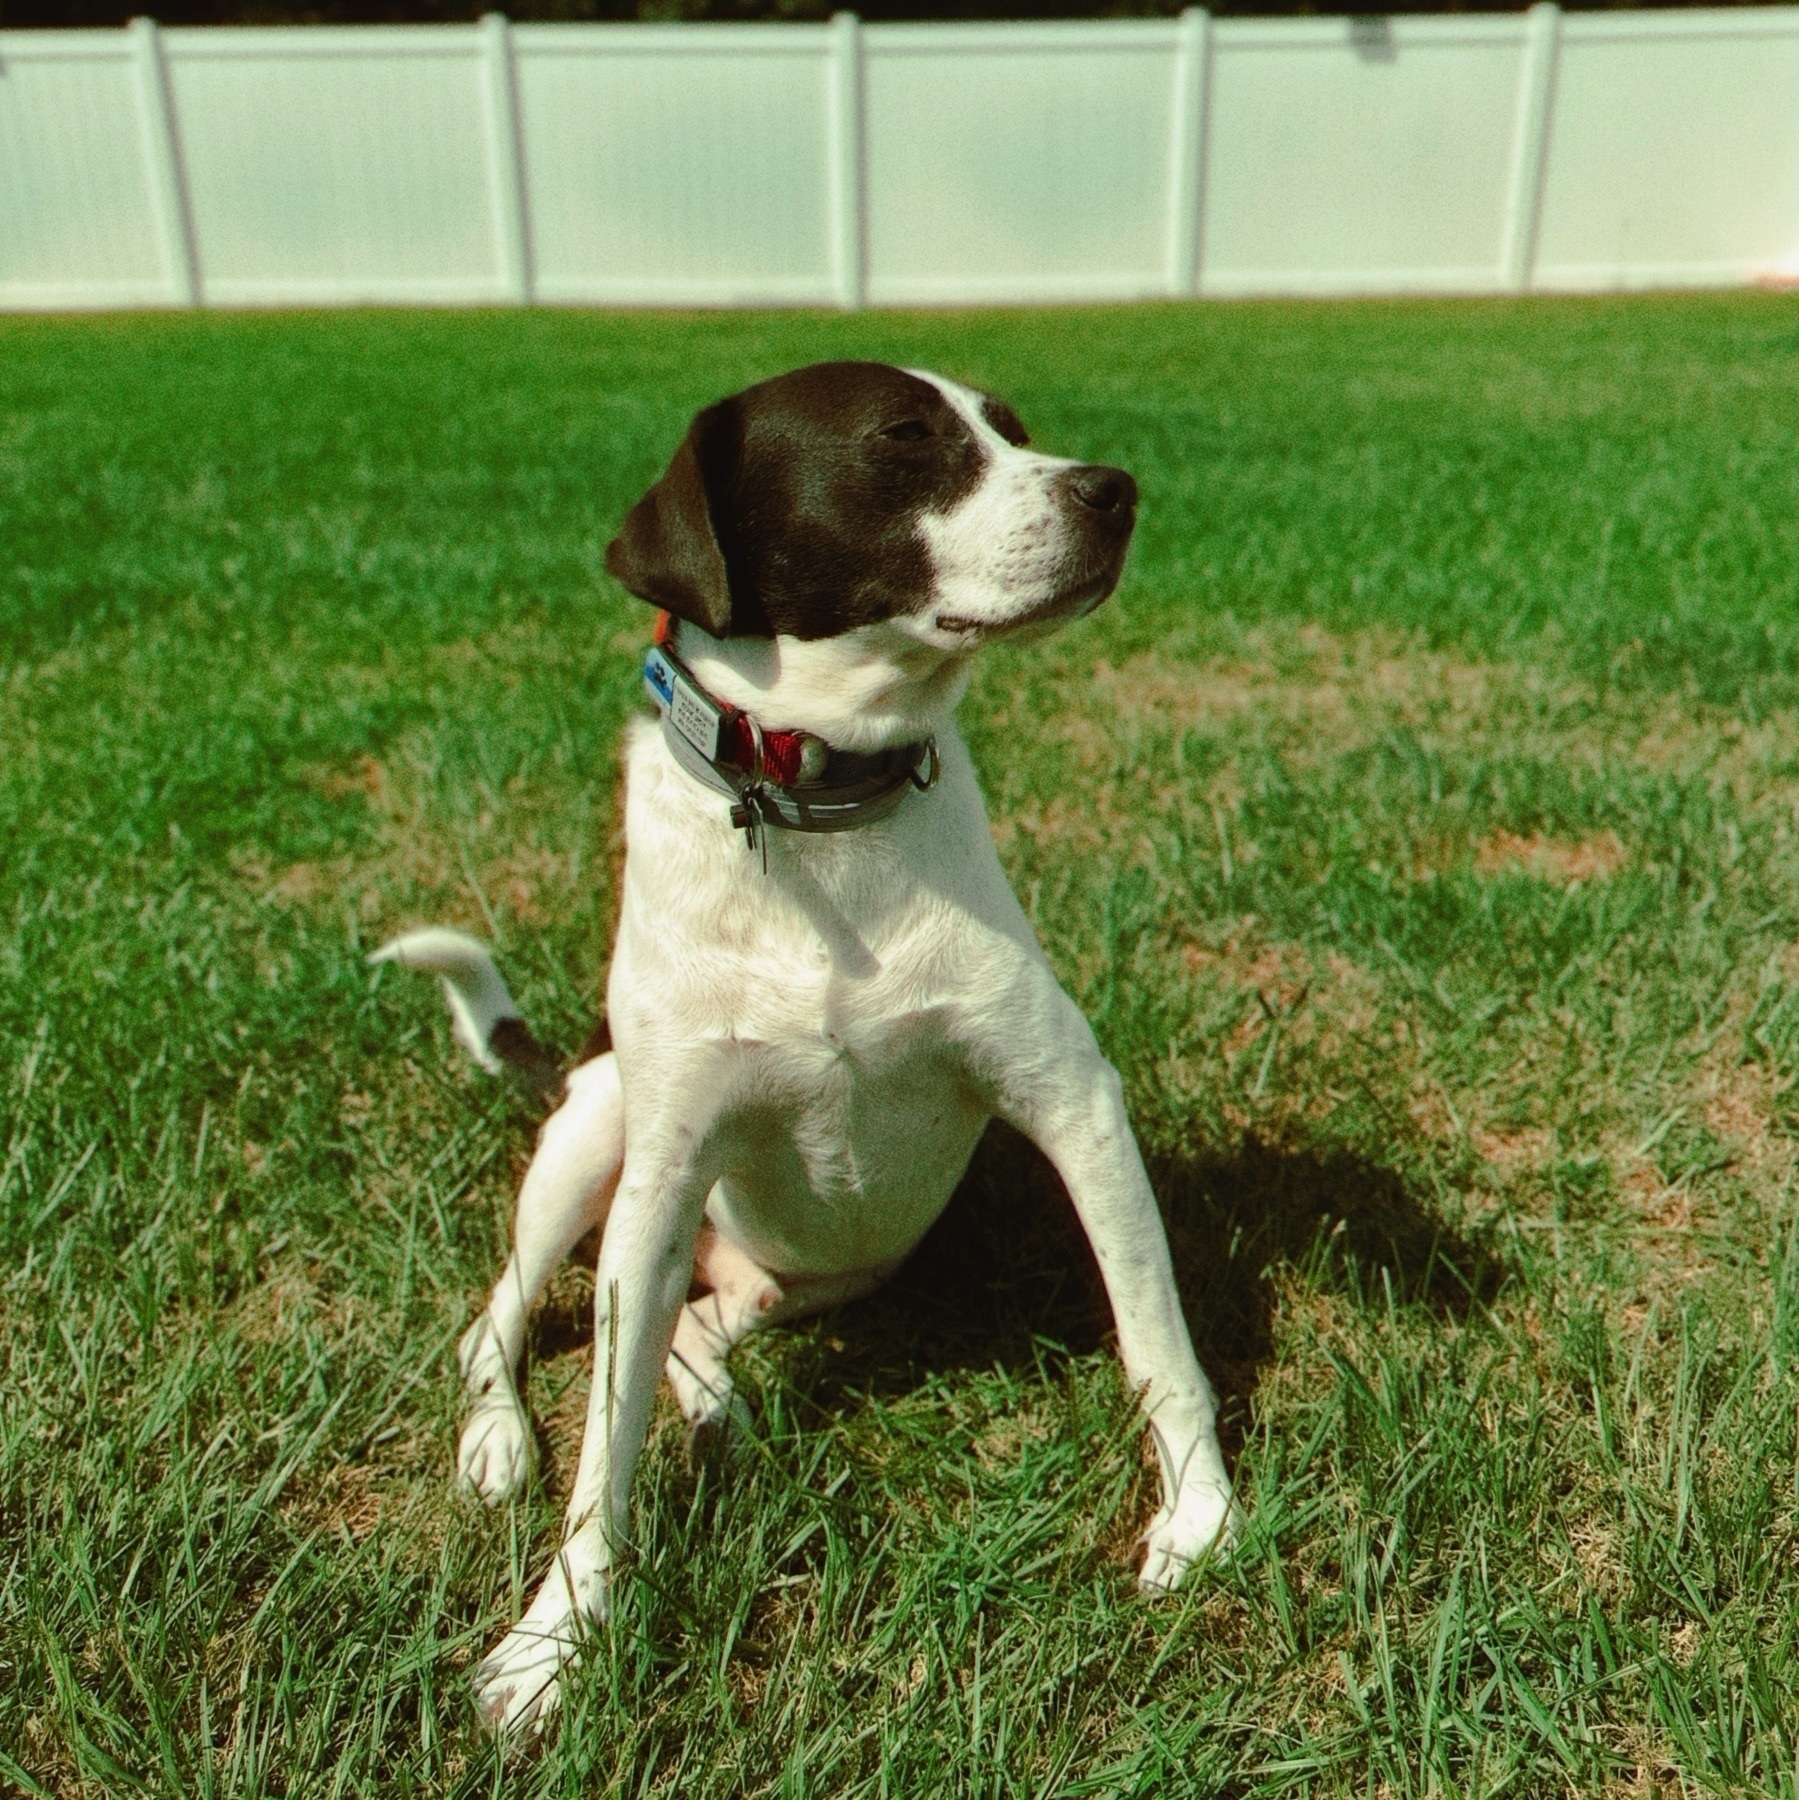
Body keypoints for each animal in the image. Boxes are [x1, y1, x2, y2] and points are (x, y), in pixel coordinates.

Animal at [372, 354, 1246, 1728]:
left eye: (1013, 431)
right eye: (902, 440)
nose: (1114, 490)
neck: (819, 808)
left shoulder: (1070, 1101)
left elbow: (1154, 1335)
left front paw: (1198, 1519)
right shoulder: (663, 1173)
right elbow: (600, 1455)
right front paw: (553, 1638)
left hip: (808, 1274)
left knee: (683, 1327)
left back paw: (716, 1405)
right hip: (599, 1135)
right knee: (505, 1324)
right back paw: (502, 1439)